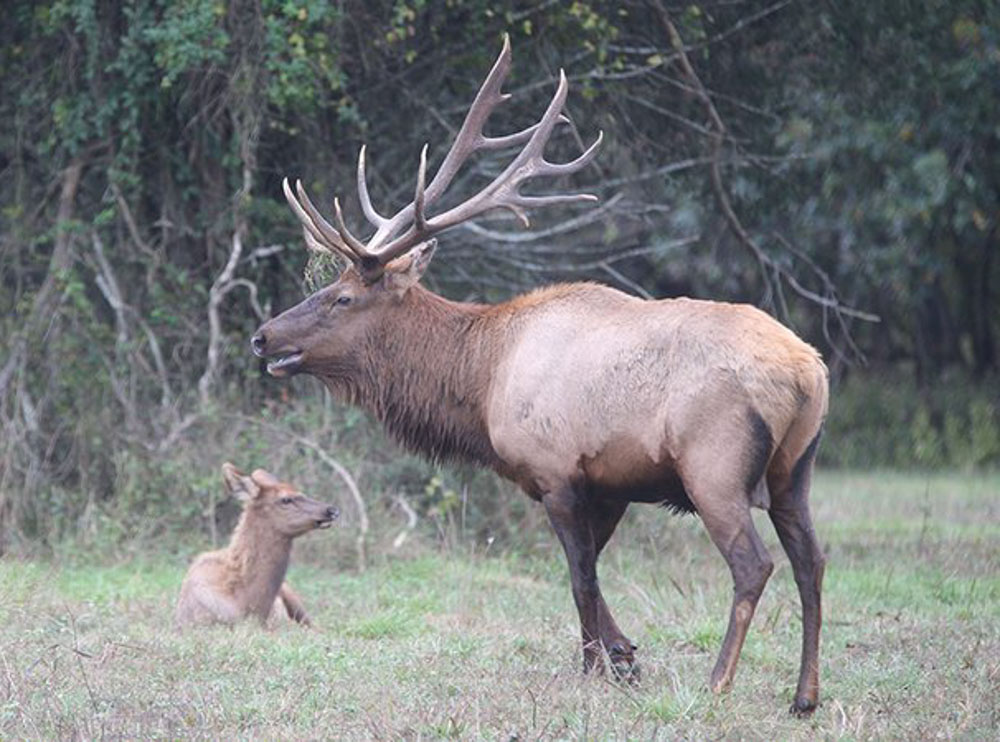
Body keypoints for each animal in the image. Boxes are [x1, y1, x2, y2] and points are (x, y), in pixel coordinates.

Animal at [250, 37, 829, 714]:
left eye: (342, 297)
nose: (263, 336)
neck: (479, 381)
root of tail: (807, 372)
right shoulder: (608, 484)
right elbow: (592, 574)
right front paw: (625, 657)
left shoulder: (555, 471)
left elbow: (579, 577)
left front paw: (596, 668)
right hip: (795, 470)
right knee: (812, 561)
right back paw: (804, 695)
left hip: (714, 466)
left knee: (753, 565)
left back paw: (717, 683)